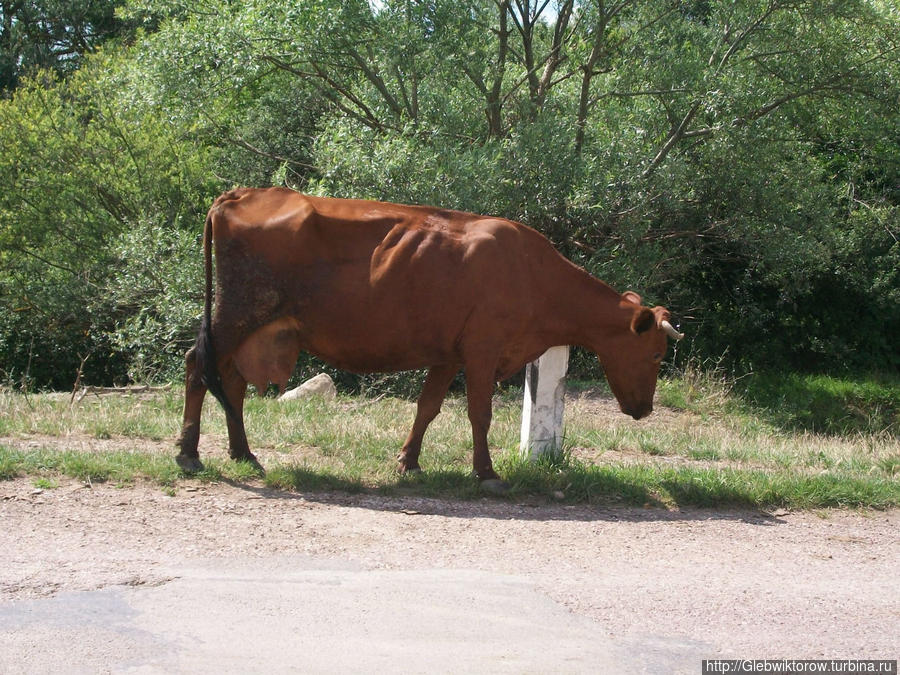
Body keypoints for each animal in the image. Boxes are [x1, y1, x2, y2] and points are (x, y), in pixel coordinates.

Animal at [174, 189, 684, 492]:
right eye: (657, 354)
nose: (644, 409)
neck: (531, 273)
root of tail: (243, 193)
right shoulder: (482, 349)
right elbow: (479, 413)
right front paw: (486, 472)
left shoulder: (448, 353)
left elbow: (429, 407)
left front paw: (408, 461)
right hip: (236, 314)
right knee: (197, 366)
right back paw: (189, 454)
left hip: (251, 326)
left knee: (231, 383)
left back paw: (244, 454)